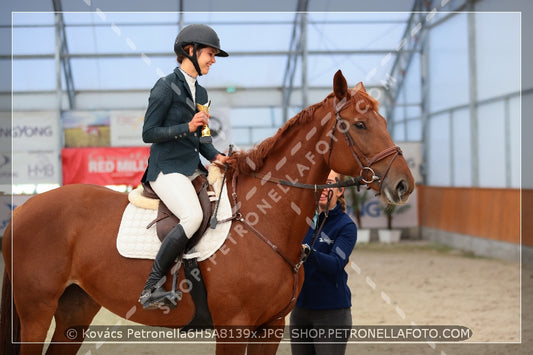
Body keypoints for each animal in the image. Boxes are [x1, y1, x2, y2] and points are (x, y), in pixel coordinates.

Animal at [0, 70, 414, 355]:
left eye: (384, 122)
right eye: (359, 124)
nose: (404, 185)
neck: (264, 220)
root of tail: (22, 212)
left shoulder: (271, 326)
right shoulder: (233, 327)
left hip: (75, 309)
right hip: (36, 311)